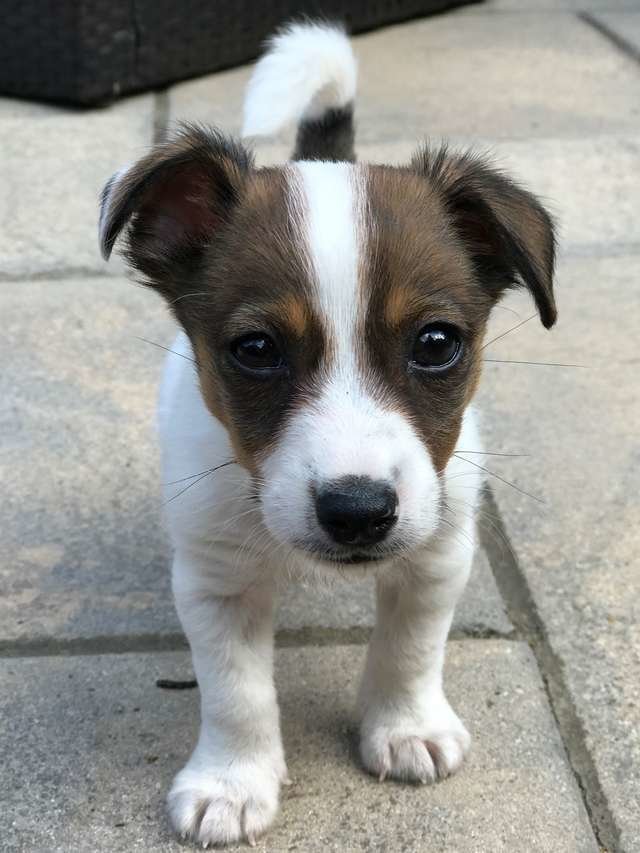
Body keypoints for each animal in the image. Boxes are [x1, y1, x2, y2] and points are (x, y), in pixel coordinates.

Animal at [99, 20, 556, 844]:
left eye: (436, 343)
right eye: (255, 349)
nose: (358, 512)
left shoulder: (438, 550)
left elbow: (410, 649)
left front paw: (406, 725)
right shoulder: (216, 579)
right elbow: (236, 693)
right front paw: (232, 780)